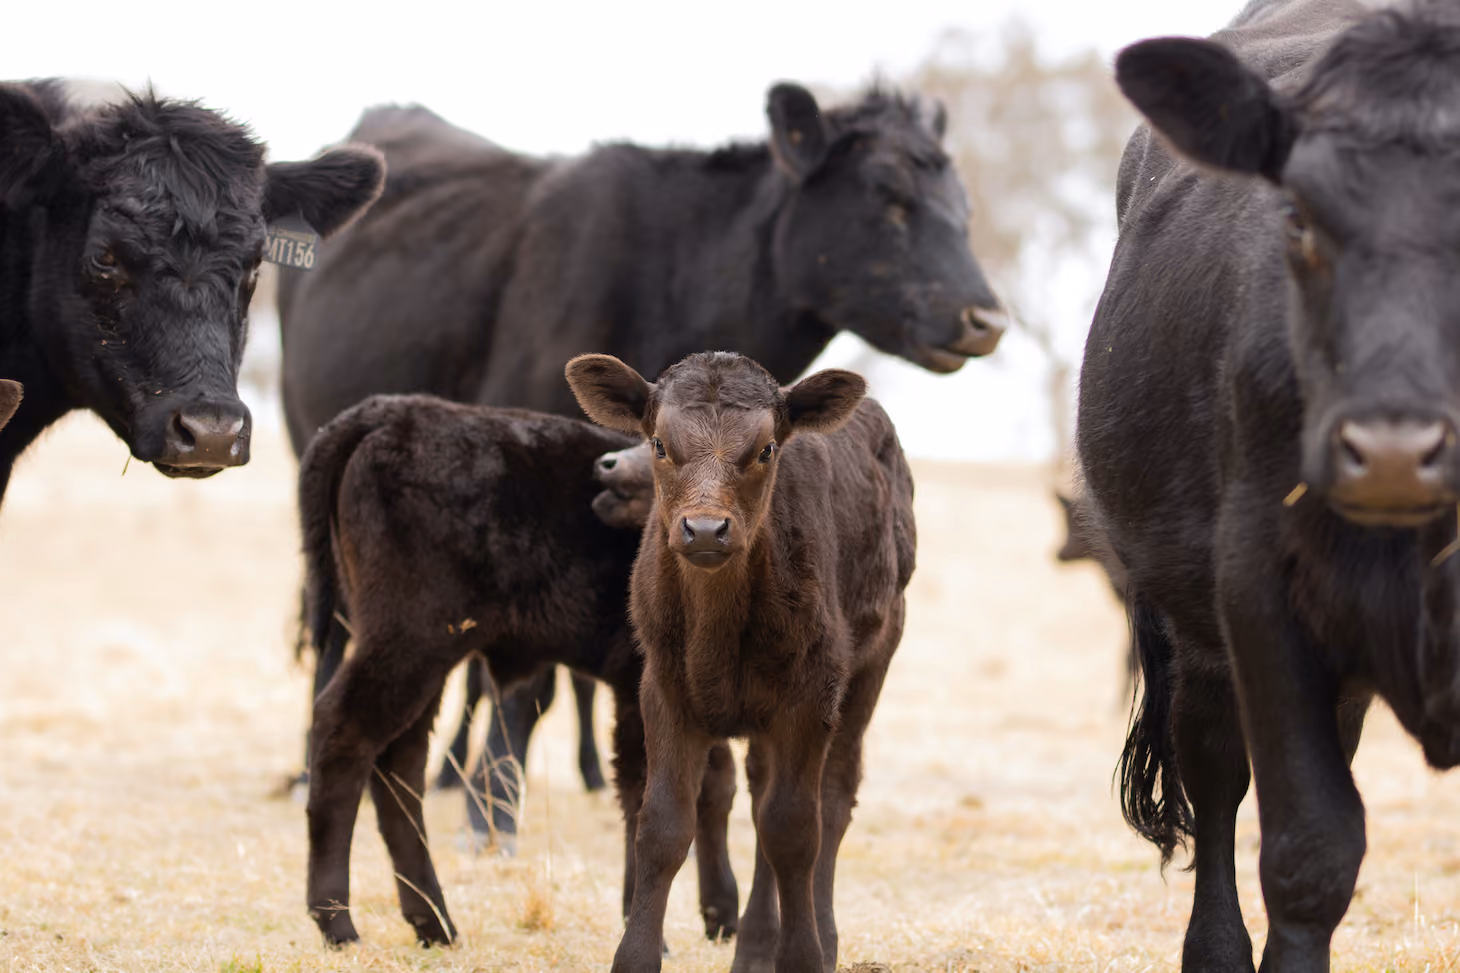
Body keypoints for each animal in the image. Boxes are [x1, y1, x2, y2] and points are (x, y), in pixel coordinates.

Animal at [277, 79, 1006, 844]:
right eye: (887, 195)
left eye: (963, 205)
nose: (986, 319)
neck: (674, 278)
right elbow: (531, 678)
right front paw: (494, 811)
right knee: (338, 633)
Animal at [298, 395, 739, 947]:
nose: (609, 468)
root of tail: (390, 412)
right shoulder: (641, 693)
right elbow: (651, 793)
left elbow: (715, 786)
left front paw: (722, 915)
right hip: (406, 644)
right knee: (343, 736)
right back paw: (338, 922)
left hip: (423, 661)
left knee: (399, 765)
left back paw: (434, 922)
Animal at [566, 351, 915, 973]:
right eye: (659, 443)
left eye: (767, 449)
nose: (705, 528)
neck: (717, 627)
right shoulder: (662, 689)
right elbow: (663, 825)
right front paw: (637, 956)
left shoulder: (810, 696)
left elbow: (795, 830)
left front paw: (801, 956)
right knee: (759, 799)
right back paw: (754, 947)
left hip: (872, 663)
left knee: (832, 799)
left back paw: (820, 938)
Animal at [1076, 1, 1460, 970]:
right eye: (1299, 217)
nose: (1393, 449)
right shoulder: (1262, 590)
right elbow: (1308, 854)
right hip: (1202, 635)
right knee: (1216, 778)